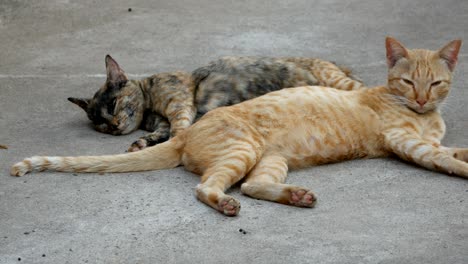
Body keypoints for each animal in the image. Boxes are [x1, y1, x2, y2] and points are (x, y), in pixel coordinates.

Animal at [69, 55, 364, 152]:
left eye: (113, 104)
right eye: (99, 123)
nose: (113, 125)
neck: (150, 109)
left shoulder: (180, 106)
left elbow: (177, 130)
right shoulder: (161, 122)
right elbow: (157, 134)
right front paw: (140, 143)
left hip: (336, 79)